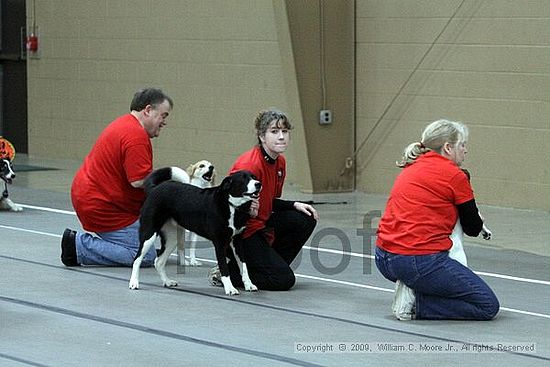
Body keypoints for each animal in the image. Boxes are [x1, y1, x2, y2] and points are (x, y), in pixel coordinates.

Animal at [129, 167, 264, 296]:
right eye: (243, 179)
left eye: (254, 177)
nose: (258, 184)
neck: (232, 206)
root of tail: (155, 189)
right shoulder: (220, 243)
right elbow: (224, 268)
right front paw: (230, 288)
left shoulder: (237, 241)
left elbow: (244, 266)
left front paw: (249, 285)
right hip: (149, 233)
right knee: (137, 259)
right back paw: (134, 283)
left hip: (171, 238)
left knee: (159, 261)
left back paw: (167, 282)